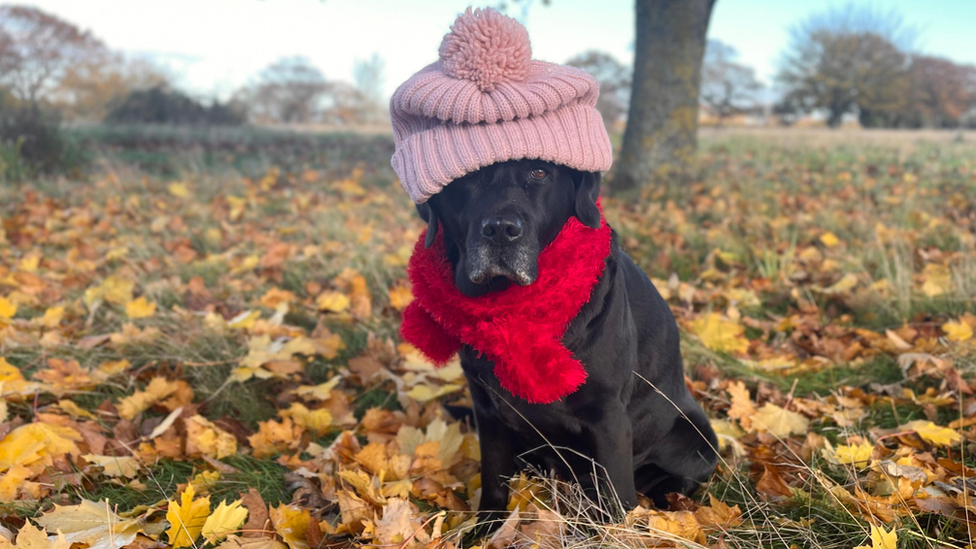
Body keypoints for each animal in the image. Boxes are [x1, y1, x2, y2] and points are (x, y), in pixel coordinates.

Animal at [414, 159, 716, 520]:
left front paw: (617, 528)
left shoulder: (609, 418)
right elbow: (493, 478)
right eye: (470, 175)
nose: (501, 230)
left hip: (698, 441)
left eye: (539, 172)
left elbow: (618, 498)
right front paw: (486, 527)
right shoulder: (487, 409)